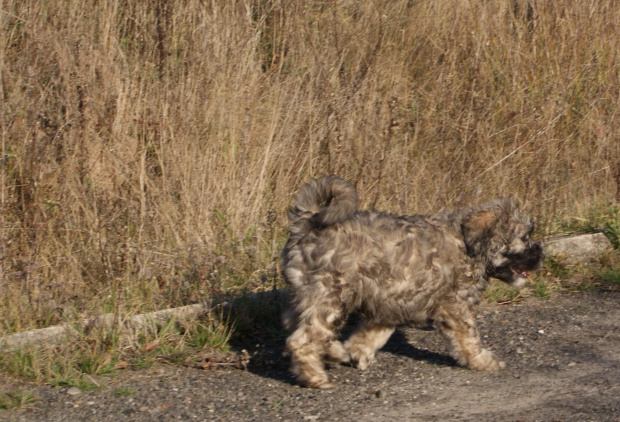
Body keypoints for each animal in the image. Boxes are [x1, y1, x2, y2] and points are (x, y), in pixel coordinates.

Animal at [280, 176, 544, 388]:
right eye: (525, 238)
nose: (541, 253)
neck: (468, 243)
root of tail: (307, 223)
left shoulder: (390, 299)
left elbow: (374, 333)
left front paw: (357, 351)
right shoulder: (456, 306)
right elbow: (470, 338)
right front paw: (483, 360)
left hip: (312, 293)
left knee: (294, 322)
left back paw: (333, 352)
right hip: (331, 295)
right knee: (302, 339)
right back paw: (316, 377)